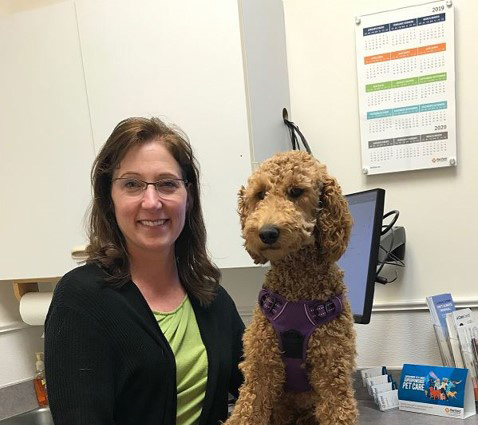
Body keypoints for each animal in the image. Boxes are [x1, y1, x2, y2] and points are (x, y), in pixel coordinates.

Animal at [226, 151, 356, 424]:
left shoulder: (332, 370)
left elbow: (337, 410)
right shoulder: (260, 365)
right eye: (260, 194)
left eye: (296, 191)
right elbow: (247, 410)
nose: (267, 233)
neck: (297, 289)